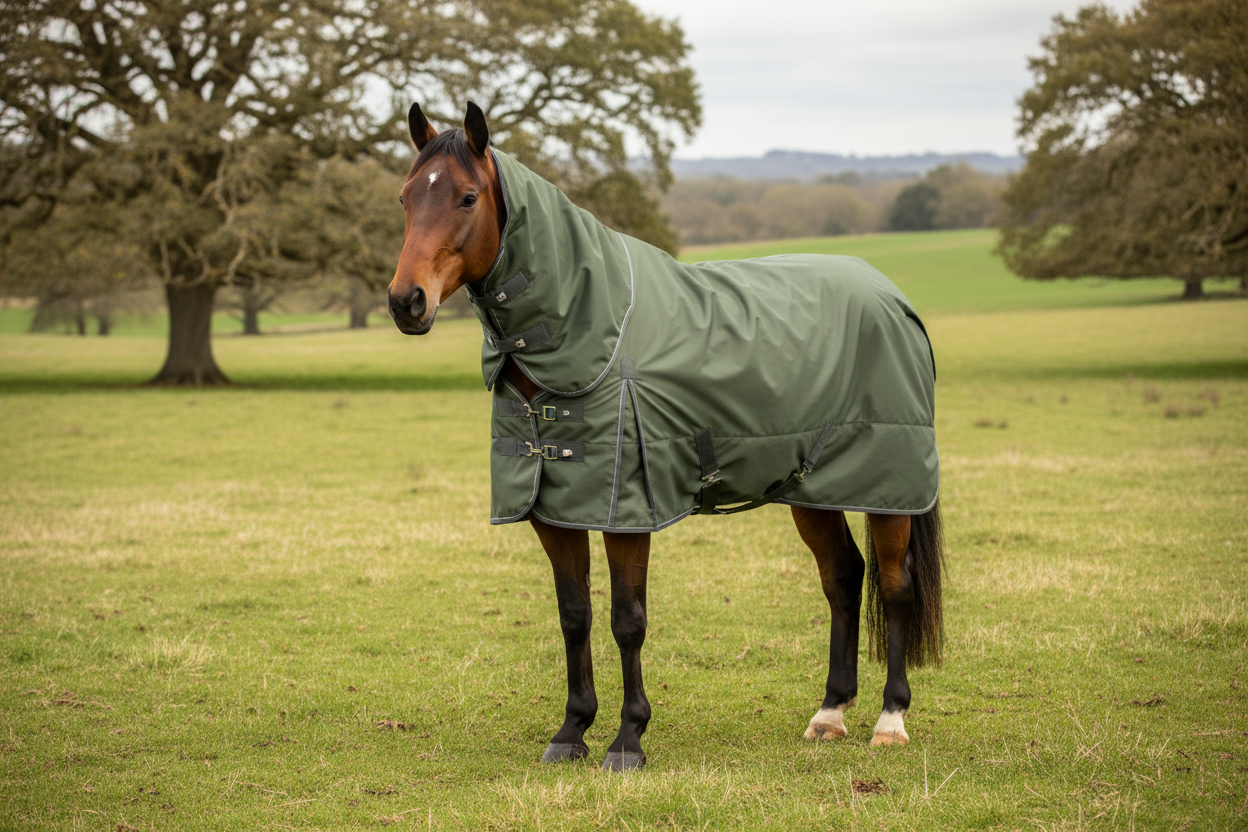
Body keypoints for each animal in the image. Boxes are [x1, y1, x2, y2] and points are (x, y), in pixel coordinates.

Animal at [388, 101, 945, 772]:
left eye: (467, 197)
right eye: (405, 197)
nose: (406, 302)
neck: (589, 323)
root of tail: (892, 296)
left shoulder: (627, 511)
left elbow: (627, 619)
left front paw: (628, 738)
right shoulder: (554, 509)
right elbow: (574, 615)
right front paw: (572, 729)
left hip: (889, 490)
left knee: (894, 585)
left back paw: (890, 720)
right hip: (812, 488)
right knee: (842, 578)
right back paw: (830, 713)